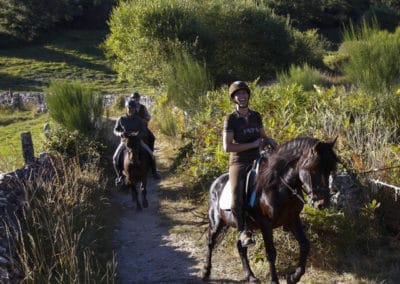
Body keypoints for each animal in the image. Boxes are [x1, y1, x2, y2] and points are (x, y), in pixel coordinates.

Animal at [203, 136, 338, 282]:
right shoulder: (265, 224)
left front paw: (294, 277)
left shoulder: (293, 219)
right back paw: (206, 272)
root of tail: (216, 182)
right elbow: (271, 252)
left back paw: (251, 276)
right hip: (217, 222)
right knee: (211, 242)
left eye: (330, 170)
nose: (322, 203)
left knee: (241, 247)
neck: (279, 187)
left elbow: (305, 245)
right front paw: (274, 280)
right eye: (313, 169)